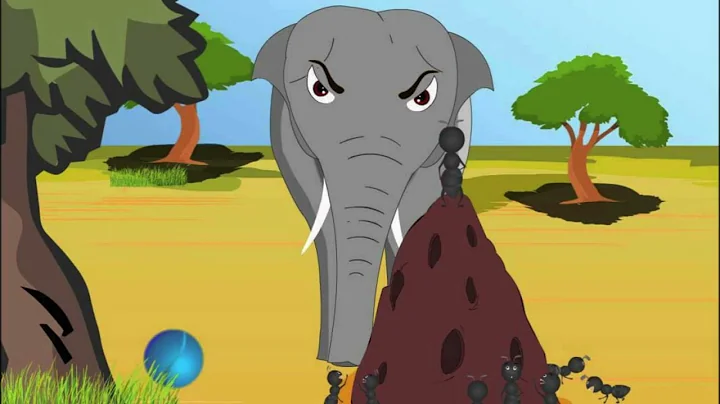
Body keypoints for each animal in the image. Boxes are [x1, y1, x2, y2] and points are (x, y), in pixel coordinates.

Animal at [253, 6, 493, 366]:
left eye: (423, 98)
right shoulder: (286, 133)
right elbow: (325, 226)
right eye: (319, 89)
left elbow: (413, 215)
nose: (346, 364)